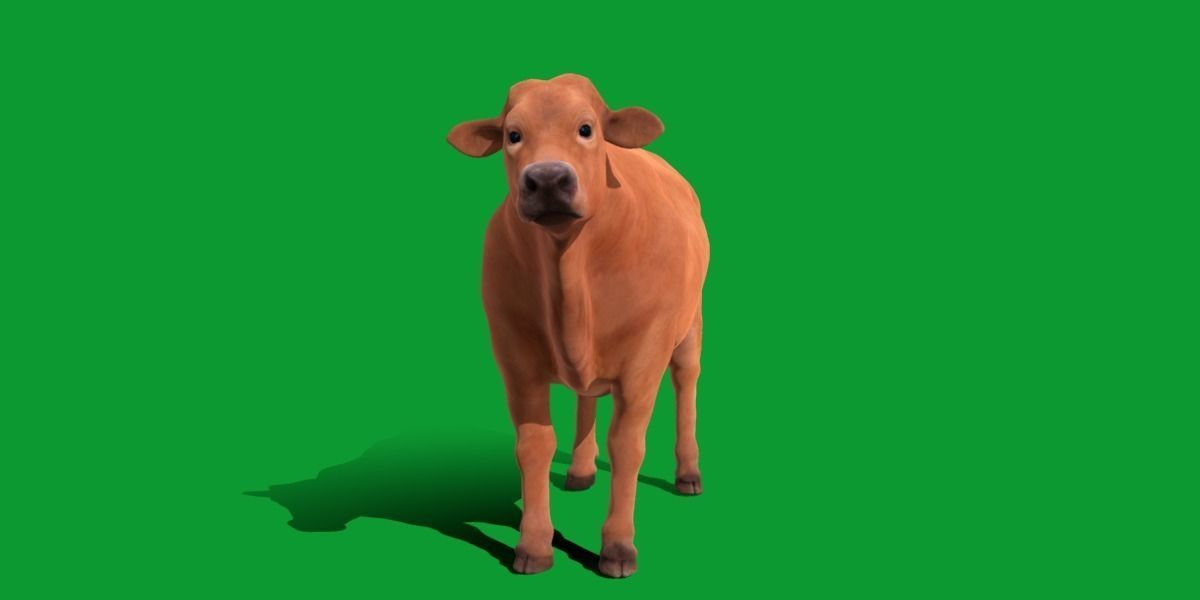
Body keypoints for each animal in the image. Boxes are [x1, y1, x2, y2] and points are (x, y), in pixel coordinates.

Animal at [447, 74, 709, 578]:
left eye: (587, 129)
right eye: (513, 135)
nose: (548, 178)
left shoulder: (644, 358)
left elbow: (627, 445)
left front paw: (618, 548)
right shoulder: (515, 356)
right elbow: (533, 445)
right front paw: (533, 545)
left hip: (691, 321)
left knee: (686, 381)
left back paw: (688, 473)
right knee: (588, 397)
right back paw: (581, 471)